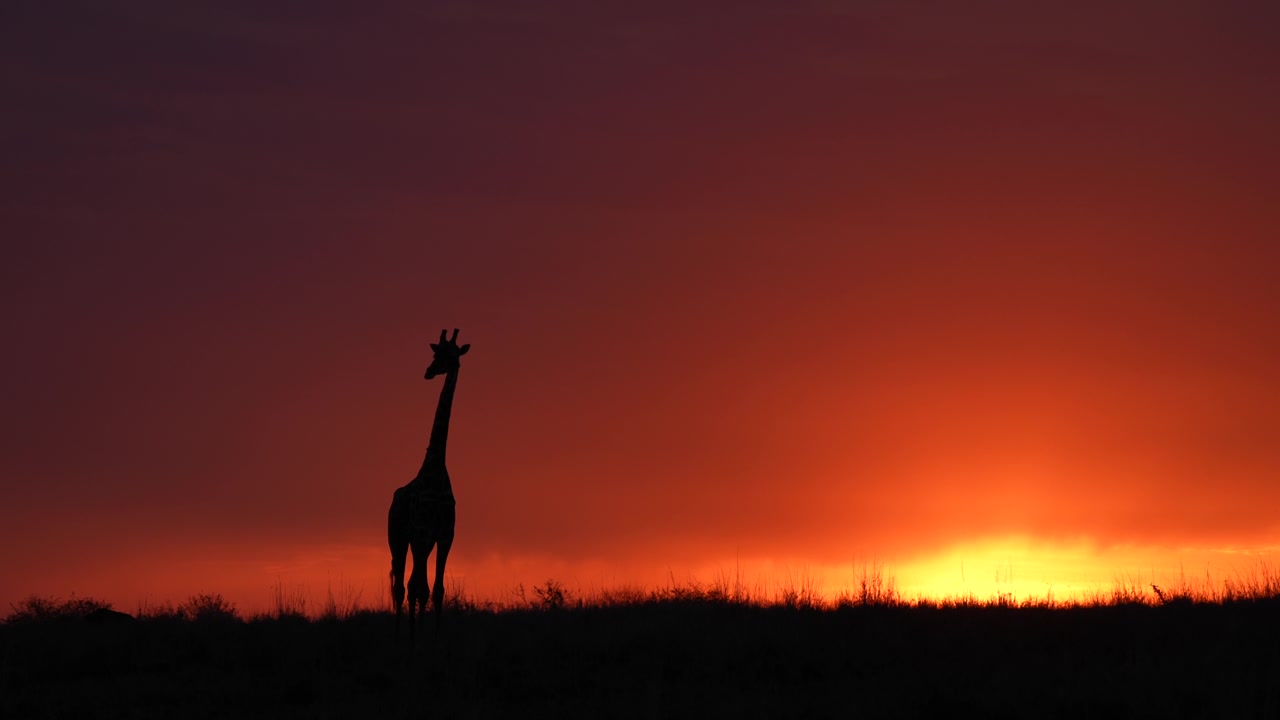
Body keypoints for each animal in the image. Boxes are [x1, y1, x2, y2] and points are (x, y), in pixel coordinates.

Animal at [388, 328, 469, 640]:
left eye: (449, 355)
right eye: (437, 353)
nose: (428, 371)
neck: (435, 469)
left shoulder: (444, 536)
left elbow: (437, 590)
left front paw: (433, 639)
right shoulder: (422, 533)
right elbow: (417, 589)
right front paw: (415, 640)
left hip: (416, 542)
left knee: (413, 585)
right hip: (398, 538)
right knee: (401, 586)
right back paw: (401, 636)